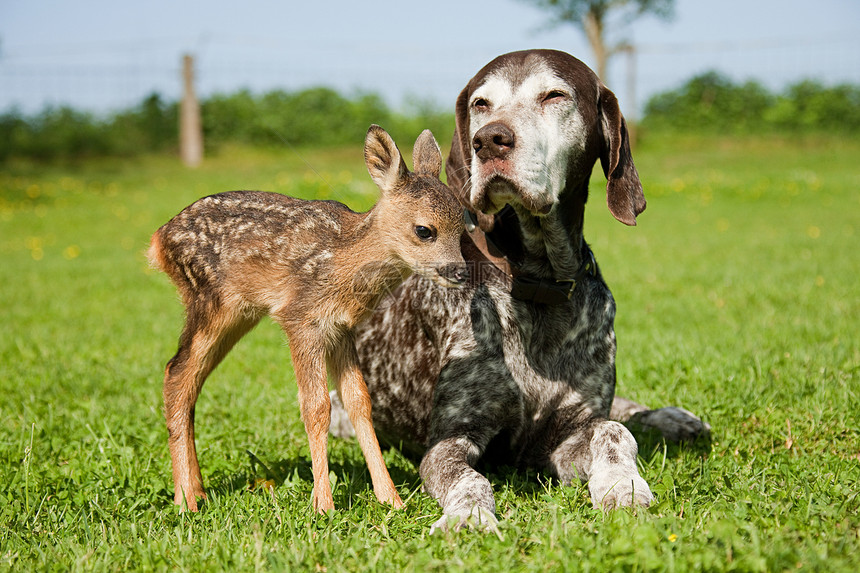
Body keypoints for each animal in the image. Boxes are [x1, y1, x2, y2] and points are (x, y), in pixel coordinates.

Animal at [149, 125, 470, 512]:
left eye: (464, 228)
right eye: (424, 230)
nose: (459, 271)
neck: (345, 261)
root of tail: (159, 240)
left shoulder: (341, 327)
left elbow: (359, 401)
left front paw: (390, 498)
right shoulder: (301, 318)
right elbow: (316, 407)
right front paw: (324, 504)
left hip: (237, 314)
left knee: (189, 379)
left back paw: (195, 490)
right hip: (209, 299)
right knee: (176, 373)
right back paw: (185, 500)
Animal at [330, 49, 712, 532]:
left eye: (554, 95)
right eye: (481, 103)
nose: (490, 141)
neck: (537, 283)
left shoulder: (566, 434)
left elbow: (613, 431)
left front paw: (622, 486)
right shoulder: (452, 438)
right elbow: (471, 479)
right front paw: (469, 516)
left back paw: (671, 417)